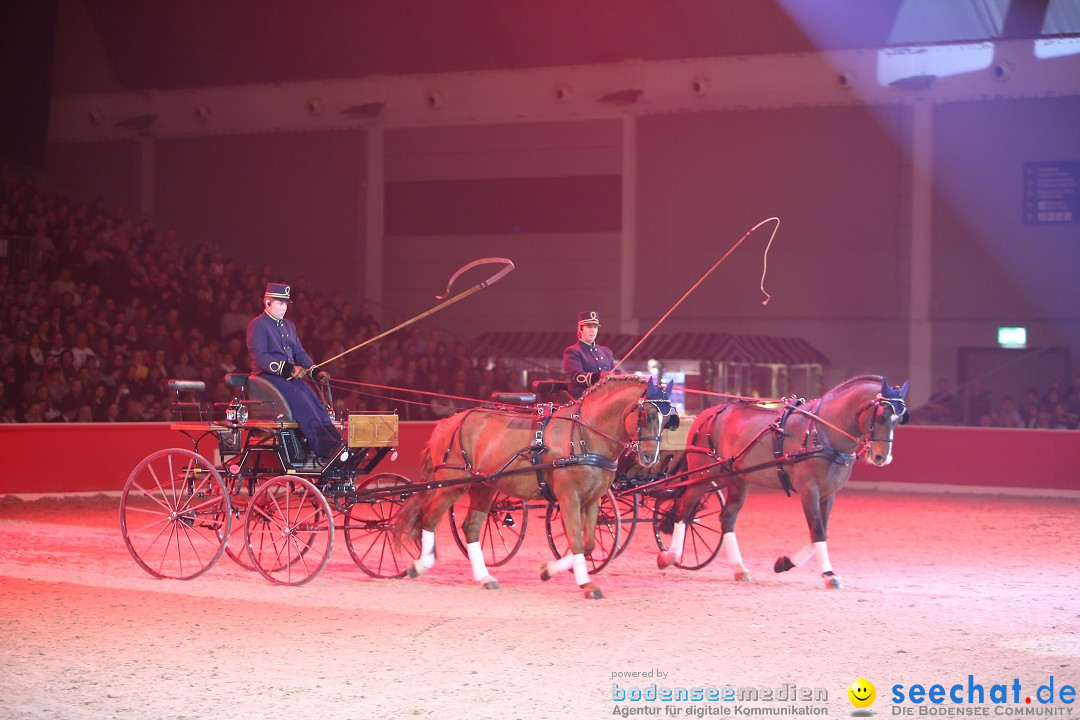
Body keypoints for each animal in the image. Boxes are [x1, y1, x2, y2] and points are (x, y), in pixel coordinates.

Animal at [393, 375, 669, 600]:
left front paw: (548, 570)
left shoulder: (593, 501)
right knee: (429, 517)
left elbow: (588, 543)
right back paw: (419, 566)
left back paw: (485, 578)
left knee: (470, 527)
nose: (649, 457)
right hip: (452, 483)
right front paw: (587, 585)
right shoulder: (569, 497)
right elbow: (576, 540)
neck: (583, 436)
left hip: (484, 486)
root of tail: (449, 421)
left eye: (667, 419)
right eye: (646, 415)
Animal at [656, 375, 902, 587]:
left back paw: (739, 568)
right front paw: (829, 574)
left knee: (726, 518)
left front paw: (785, 563)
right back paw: (669, 556)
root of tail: (707, 413)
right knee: (684, 510)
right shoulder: (809, 489)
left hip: (737, 479)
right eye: (880, 415)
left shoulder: (828, 493)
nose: (882, 457)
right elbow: (817, 530)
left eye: (899, 419)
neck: (822, 432)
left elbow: (821, 530)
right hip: (702, 474)